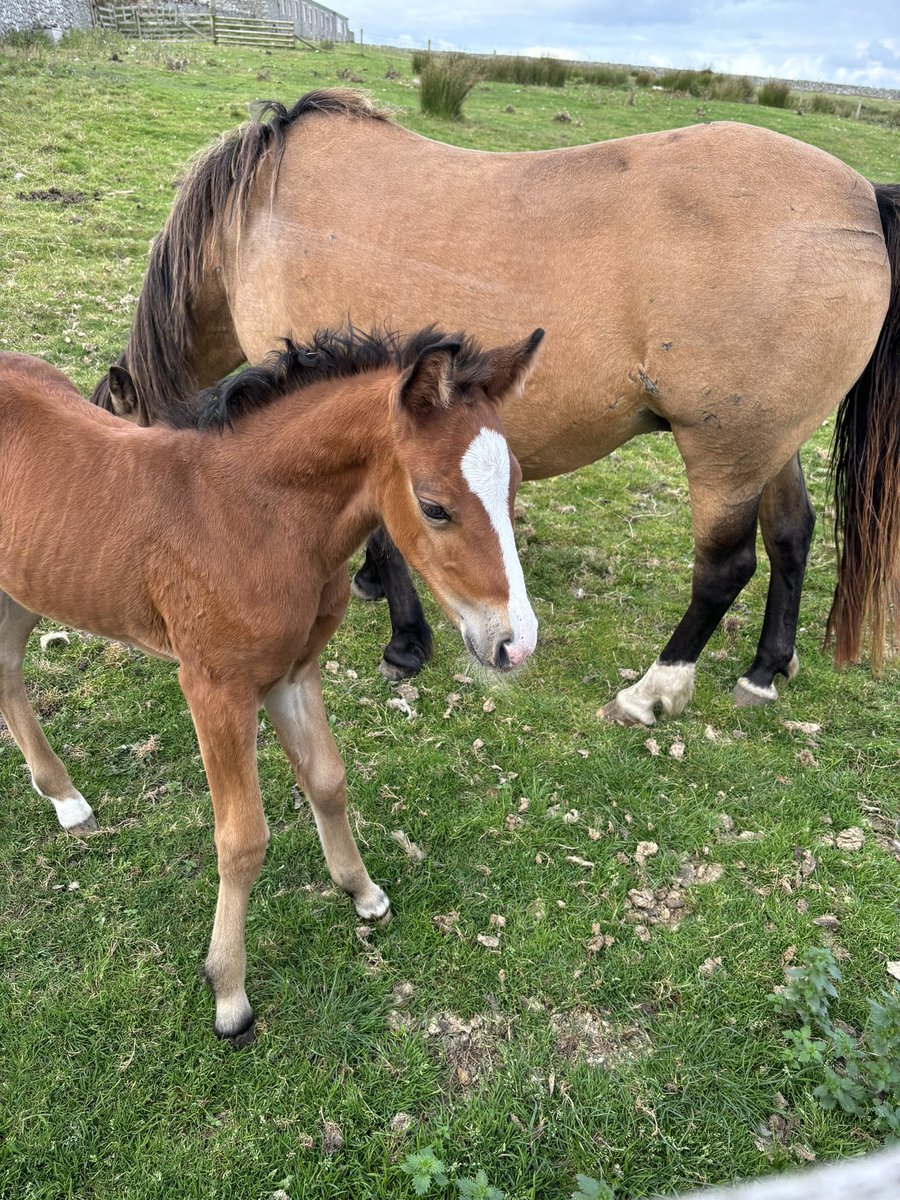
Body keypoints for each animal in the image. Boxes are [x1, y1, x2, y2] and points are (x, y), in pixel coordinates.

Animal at [0, 324, 542, 1043]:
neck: (252, 517)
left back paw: (64, 797)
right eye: (433, 507)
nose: (516, 643)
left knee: (7, 669)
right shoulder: (214, 688)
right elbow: (242, 839)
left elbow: (328, 781)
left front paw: (362, 891)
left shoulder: (294, 671)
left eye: (513, 486)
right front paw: (229, 993)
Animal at [92, 89, 900, 725]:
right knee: (792, 534)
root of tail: (859, 195)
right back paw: (765, 669)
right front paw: (371, 585)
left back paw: (653, 691)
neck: (255, 219)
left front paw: (404, 641)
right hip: (770, 442)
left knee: (725, 568)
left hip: (724, 448)